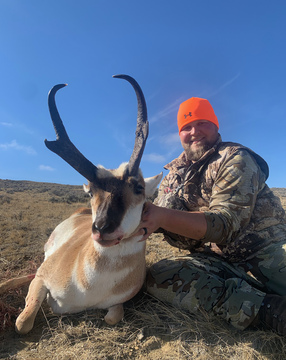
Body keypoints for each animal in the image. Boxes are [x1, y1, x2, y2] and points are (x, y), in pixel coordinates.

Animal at [15, 75, 163, 334]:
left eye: (138, 188)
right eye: (91, 191)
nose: (102, 228)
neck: (88, 287)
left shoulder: (117, 304)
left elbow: (112, 317)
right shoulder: (41, 278)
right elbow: (22, 323)